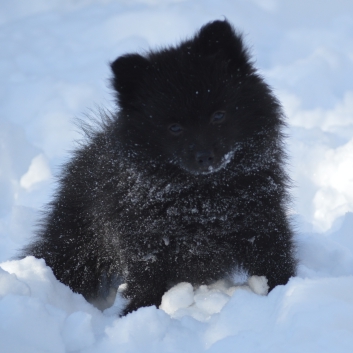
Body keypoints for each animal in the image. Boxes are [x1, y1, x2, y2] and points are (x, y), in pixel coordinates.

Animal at [24, 19, 294, 314]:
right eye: (174, 128)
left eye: (218, 115)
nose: (205, 156)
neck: (203, 202)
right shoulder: (145, 243)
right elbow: (146, 281)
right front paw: (136, 312)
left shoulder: (262, 221)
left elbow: (276, 260)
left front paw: (286, 291)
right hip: (77, 244)